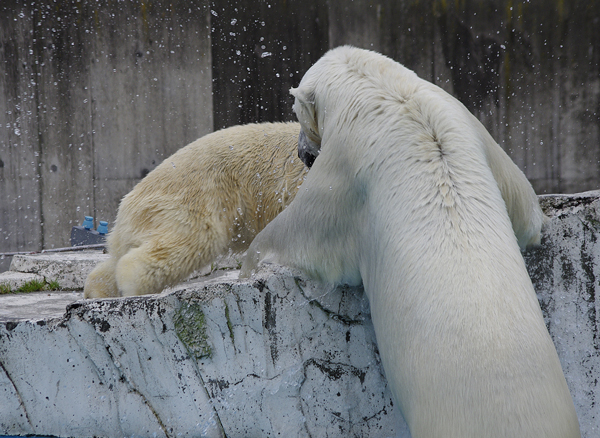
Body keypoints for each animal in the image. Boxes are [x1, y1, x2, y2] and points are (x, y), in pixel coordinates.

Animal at [84, 122, 308, 298]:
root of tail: (128, 202)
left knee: (117, 256)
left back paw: (97, 290)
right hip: (199, 197)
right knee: (194, 240)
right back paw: (131, 286)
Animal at [240, 48, 580, 438]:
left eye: (297, 113)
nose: (301, 153)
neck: (394, 96)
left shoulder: (346, 164)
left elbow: (301, 231)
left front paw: (250, 261)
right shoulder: (466, 122)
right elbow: (523, 203)